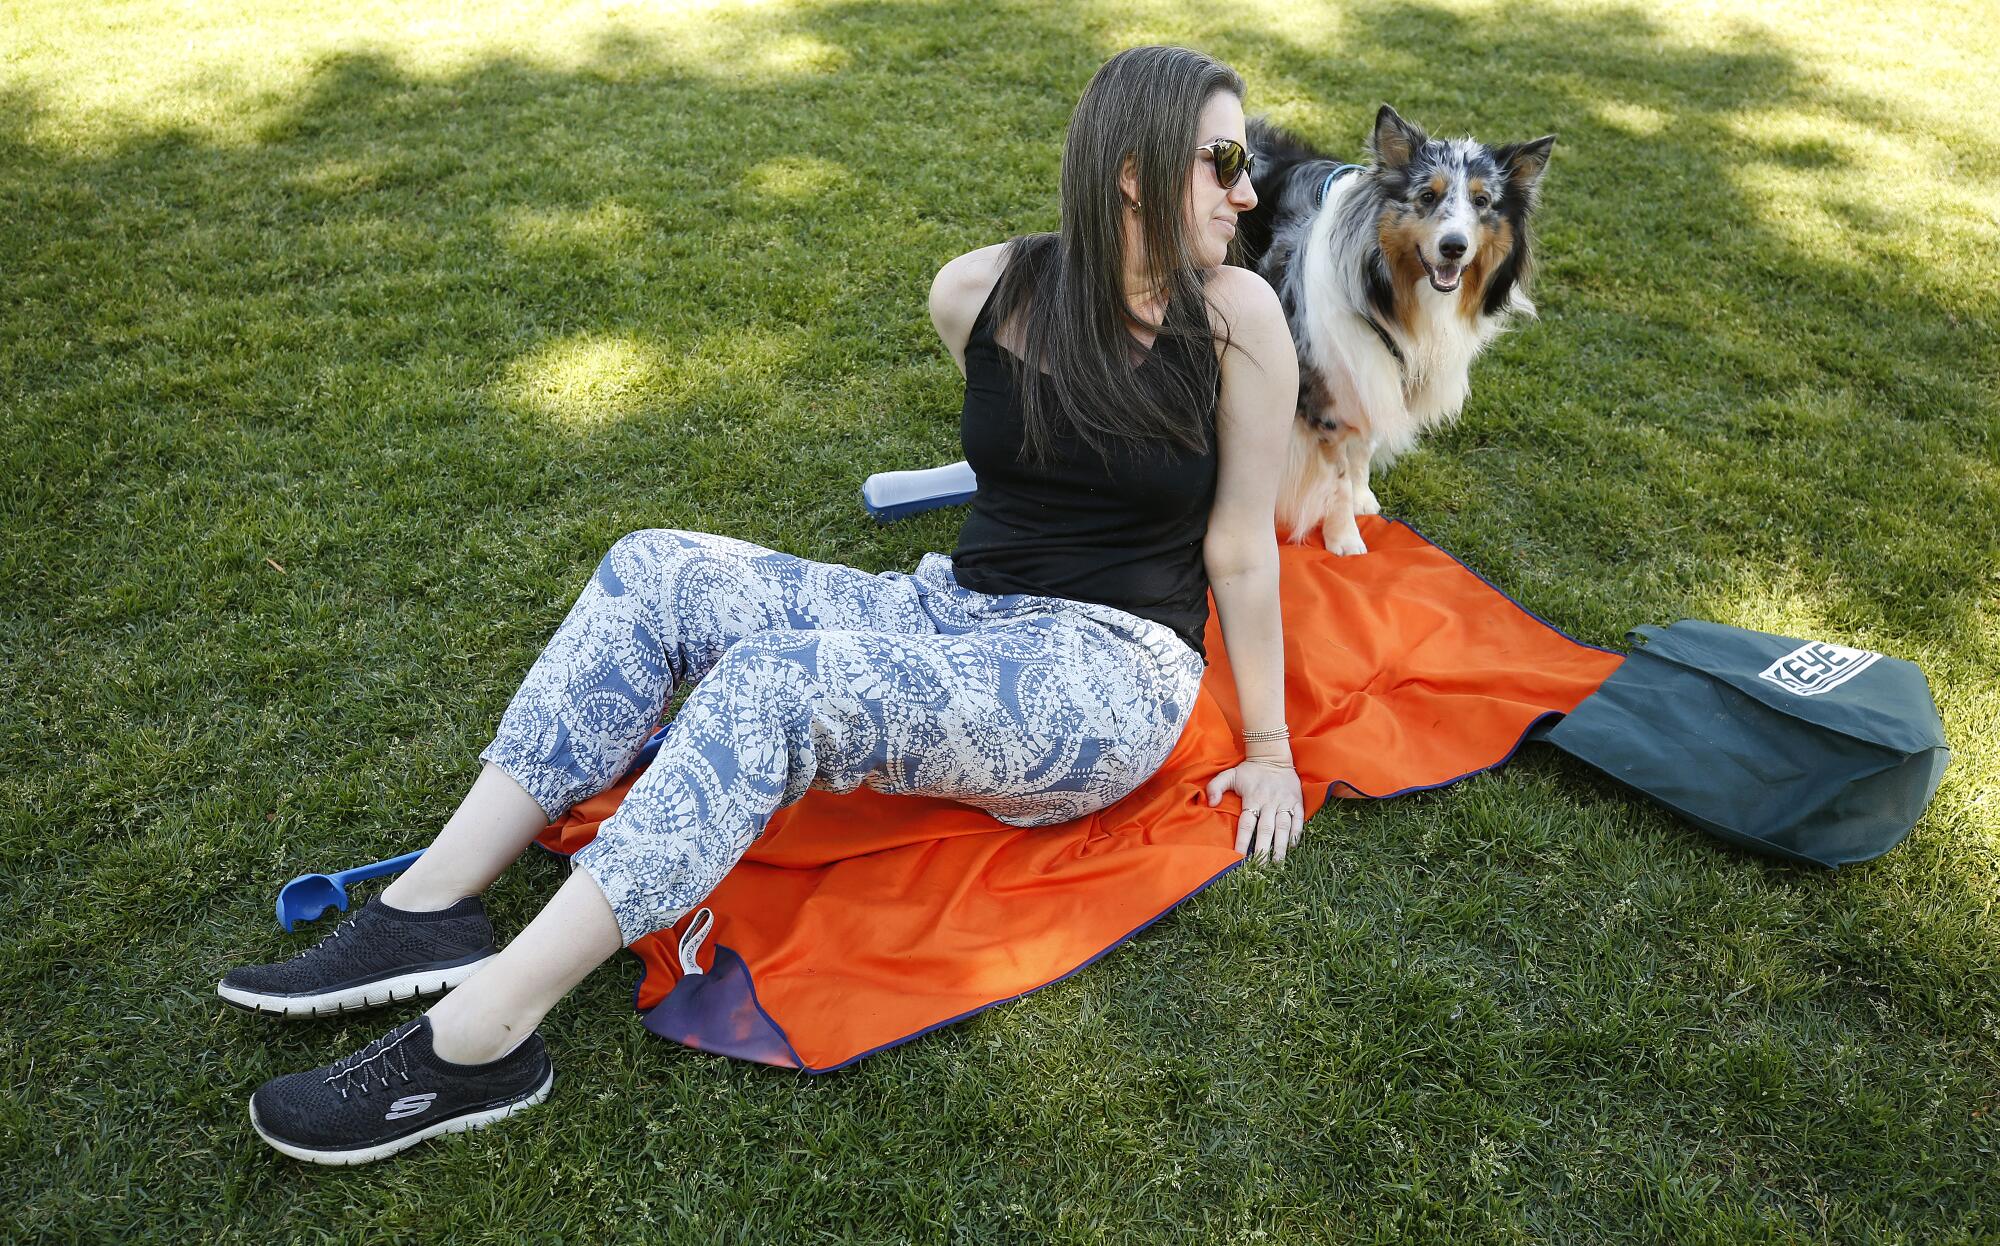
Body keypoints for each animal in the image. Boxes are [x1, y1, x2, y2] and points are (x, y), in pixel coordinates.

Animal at [1240, 107, 1552, 556]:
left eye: (1481, 201)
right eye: (1427, 196)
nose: (1454, 247)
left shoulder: (1376, 372)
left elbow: (1363, 451)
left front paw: (1361, 499)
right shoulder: (1325, 393)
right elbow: (1336, 476)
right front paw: (1344, 540)